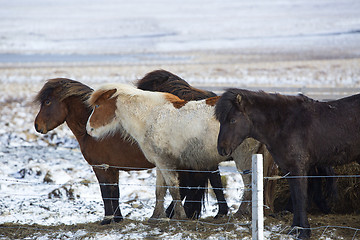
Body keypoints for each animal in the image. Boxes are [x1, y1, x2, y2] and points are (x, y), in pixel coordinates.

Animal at [86, 83, 274, 220]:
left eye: (97, 105)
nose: (89, 129)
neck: (150, 116)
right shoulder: (160, 162)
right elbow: (160, 190)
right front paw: (156, 216)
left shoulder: (166, 162)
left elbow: (173, 188)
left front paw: (179, 215)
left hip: (243, 157)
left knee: (249, 184)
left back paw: (241, 212)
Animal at [214, 88, 360, 238]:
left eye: (233, 120)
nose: (221, 149)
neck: (285, 124)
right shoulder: (289, 170)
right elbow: (295, 199)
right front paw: (294, 229)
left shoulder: (298, 169)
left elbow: (300, 198)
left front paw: (304, 232)